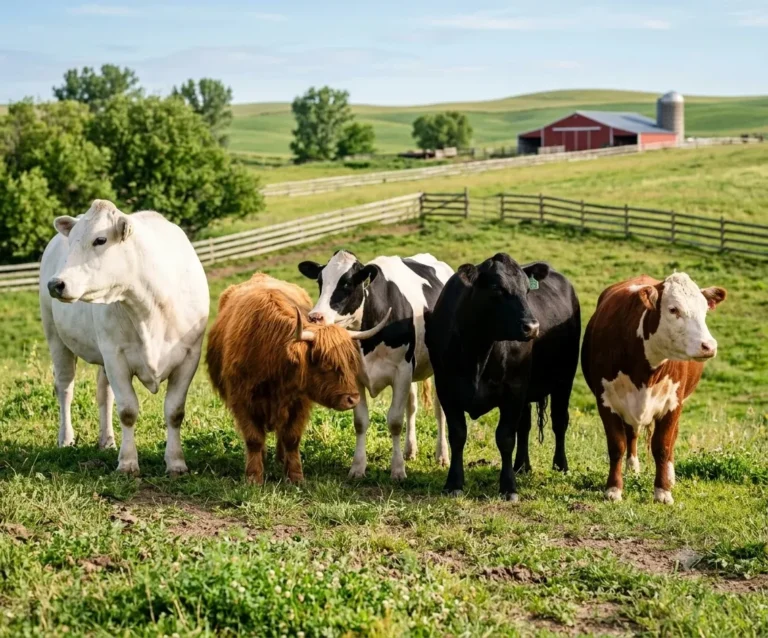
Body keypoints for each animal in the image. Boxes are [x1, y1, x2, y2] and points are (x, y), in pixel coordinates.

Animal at [40, 199, 209, 475]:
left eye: (100, 240)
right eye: (72, 240)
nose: (56, 283)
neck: (149, 307)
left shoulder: (189, 356)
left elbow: (174, 411)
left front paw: (176, 462)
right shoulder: (115, 356)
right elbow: (128, 410)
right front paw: (128, 462)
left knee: (103, 392)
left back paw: (106, 440)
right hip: (56, 337)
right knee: (65, 388)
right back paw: (66, 438)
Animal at [206, 273, 389, 484]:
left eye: (350, 362)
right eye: (325, 364)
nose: (353, 399)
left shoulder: (299, 402)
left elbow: (291, 438)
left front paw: (295, 477)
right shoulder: (242, 400)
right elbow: (254, 439)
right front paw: (253, 477)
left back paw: (280, 459)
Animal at [298, 251, 454, 480]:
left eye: (347, 283)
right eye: (320, 280)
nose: (315, 317)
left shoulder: (402, 371)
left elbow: (395, 421)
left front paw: (397, 470)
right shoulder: (358, 376)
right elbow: (361, 421)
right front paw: (357, 467)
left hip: (439, 366)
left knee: (439, 409)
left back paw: (442, 456)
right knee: (412, 407)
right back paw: (410, 450)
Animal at [425, 253, 581, 501]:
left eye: (527, 290)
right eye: (497, 289)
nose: (532, 327)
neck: (477, 350)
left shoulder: (513, 391)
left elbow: (506, 437)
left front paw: (508, 487)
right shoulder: (446, 389)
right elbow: (458, 435)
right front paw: (454, 483)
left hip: (564, 379)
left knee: (559, 422)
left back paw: (560, 466)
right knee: (525, 427)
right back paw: (522, 466)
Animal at [581, 273, 727, 504]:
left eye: (704, 310)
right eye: (673, 309)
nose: (709, 346)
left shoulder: (673, 404)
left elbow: (663, 446)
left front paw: (663, 490)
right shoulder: (605, 401)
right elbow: (617, 445)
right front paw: (613, 488)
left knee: (672, 437)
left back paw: (671, 475)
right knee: (632, 434)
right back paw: (633, 466)